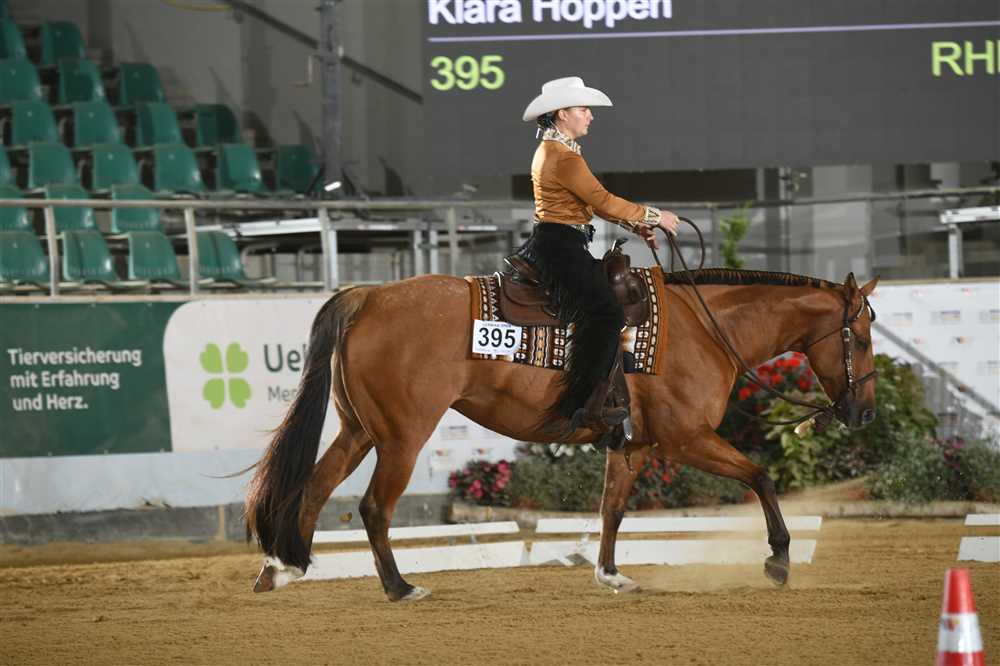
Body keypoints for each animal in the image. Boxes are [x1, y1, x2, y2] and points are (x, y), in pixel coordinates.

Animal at [244, 265, 879, 601]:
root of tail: (369, 295)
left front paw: (610, 573)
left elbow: (611, 509)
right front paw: (779, 559)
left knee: (317, 485)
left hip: (359, 430)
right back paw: (400, 587)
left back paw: (283, 567)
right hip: (402, 436)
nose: (866, 414)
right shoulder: (686, 439)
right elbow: (761, 475)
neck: (704, 328)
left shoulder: (634, 446)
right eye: (864, 336)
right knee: (375, 506)